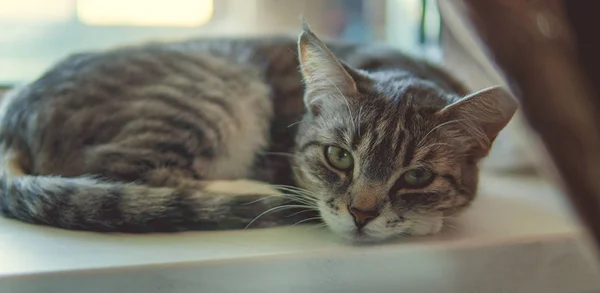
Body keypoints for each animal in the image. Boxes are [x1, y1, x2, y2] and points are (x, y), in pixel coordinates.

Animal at [0, 22, 516, 242]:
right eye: (339, 156)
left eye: (417, 177)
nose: (361, 215)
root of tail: (13, 118)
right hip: (215, 92)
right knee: (125, 173)